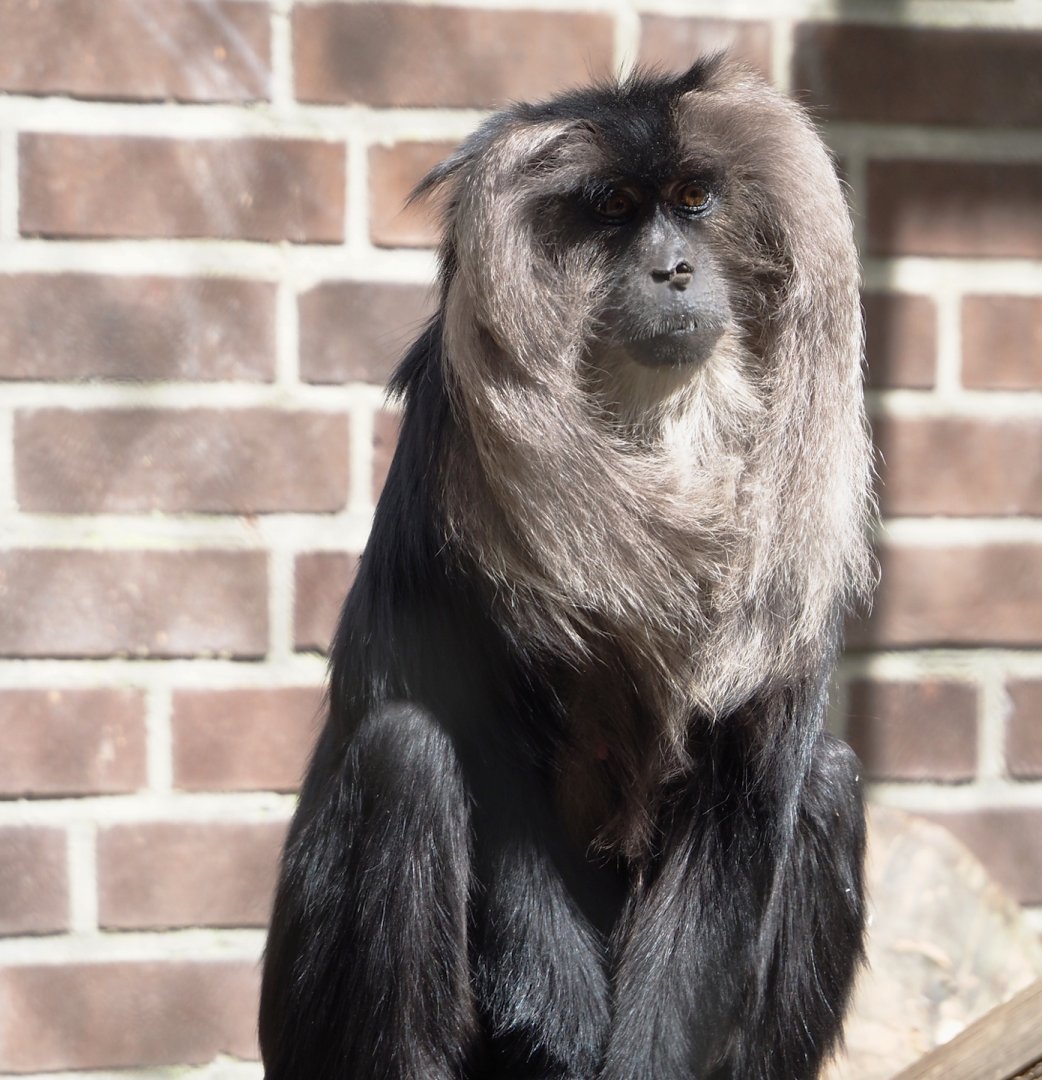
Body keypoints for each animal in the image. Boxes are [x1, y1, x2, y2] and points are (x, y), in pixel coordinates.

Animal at [259, 55, 874, 1080]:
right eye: (615, 207)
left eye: (695, 199)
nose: (673, 269)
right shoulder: (457, 479)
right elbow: (494, 794)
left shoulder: (796, 558)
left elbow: (745, 813)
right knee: (405, 756)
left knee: (827, 781)